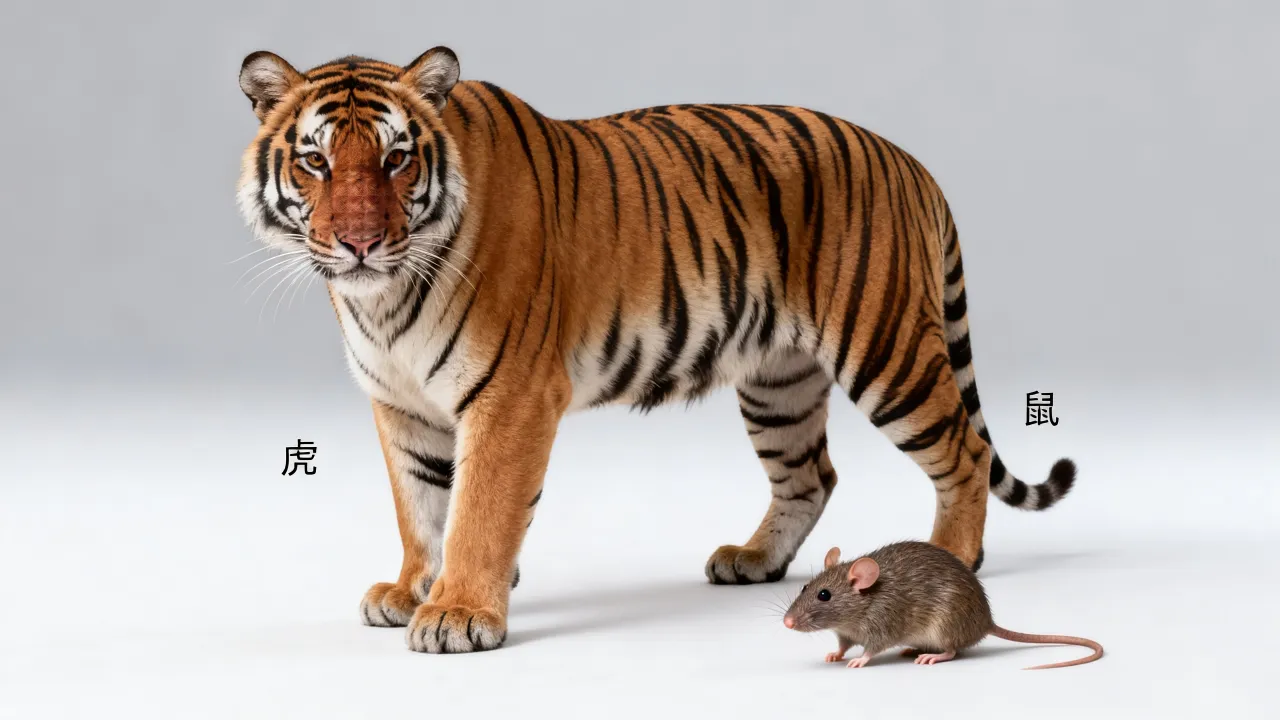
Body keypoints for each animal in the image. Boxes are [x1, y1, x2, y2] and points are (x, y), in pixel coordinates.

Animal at [235, 46, 1077, 654]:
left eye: (396, 158)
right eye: (315, 161)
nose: (360, 241)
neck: (382, 299)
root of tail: (910, 161)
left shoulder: (509, 395)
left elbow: (476, 508)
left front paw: (459, 612)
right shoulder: (402, 405)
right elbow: (420, 506)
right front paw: (413, 589)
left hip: (886, 348)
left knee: (964, 451)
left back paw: (951, 556)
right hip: (779, 380)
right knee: (812, 474)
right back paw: (753, 560)